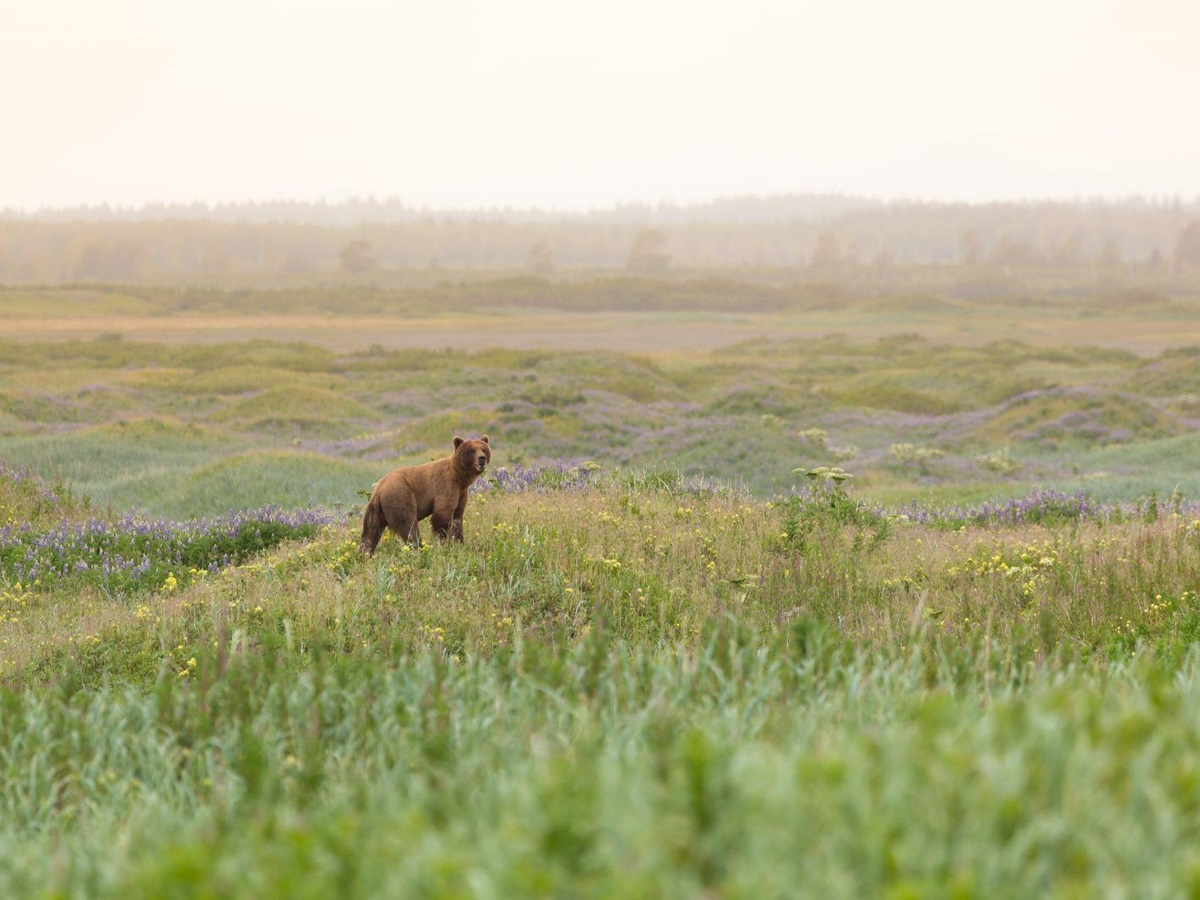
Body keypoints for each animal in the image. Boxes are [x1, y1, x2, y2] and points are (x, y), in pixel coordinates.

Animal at [359, 435, 491, 554]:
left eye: (484, 449)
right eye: (472, 450)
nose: (482, 458)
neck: (460, 478)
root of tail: (379, 490)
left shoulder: (461, 493)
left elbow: (457, 518)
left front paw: (460, 542)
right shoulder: (446, 486)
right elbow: (442, 516)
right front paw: (443, 543)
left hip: (374, 510)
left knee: (370, 532)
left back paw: (365, 554)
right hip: (400, 497)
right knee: (409, 526)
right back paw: (421, 549)